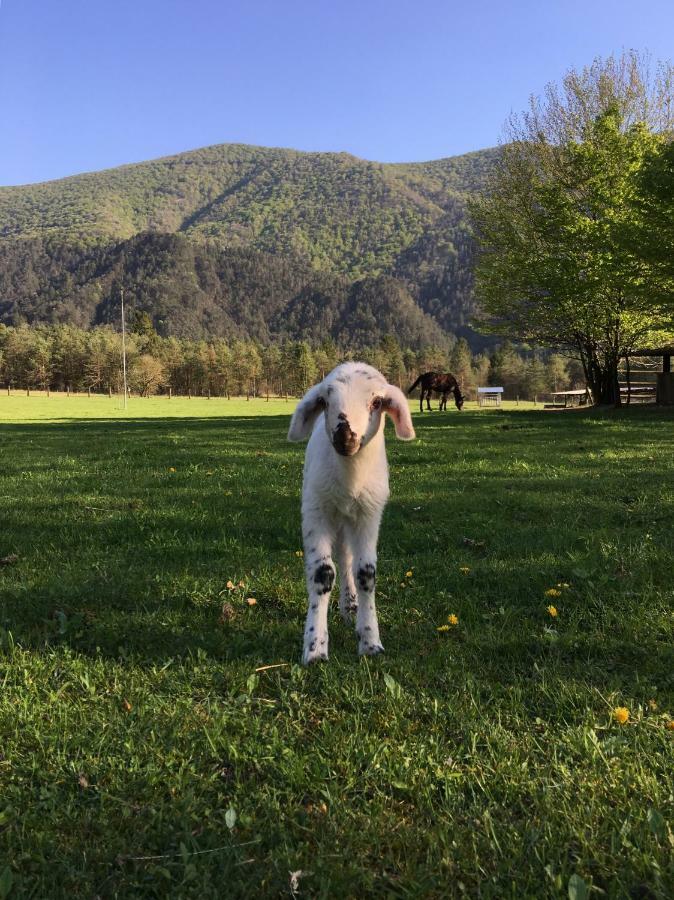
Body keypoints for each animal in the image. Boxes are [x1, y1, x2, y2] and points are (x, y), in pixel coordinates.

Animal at [284, 362, 412, 664]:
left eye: (377, 402)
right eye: (324, 401)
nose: (344, 436)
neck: (350, 479)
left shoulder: (370, 514)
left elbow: (366, 573)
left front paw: (371, 642)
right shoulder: (315, 510)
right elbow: (322, 573)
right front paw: (315, 648)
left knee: (347, 558)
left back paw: (351, 606)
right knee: (341, 557)